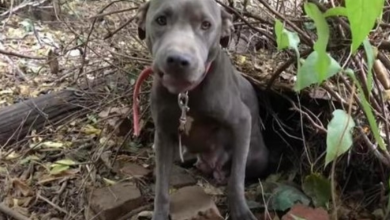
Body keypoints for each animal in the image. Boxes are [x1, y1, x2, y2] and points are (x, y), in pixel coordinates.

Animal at [136, 0, 270, 219]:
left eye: (206, 24)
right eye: (161, 20)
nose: (178, 60)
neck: (186, 94)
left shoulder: (242, 121)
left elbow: (237, 179)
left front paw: (241, 211)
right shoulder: (163, 135)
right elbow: (161, 188)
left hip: (258, 157)